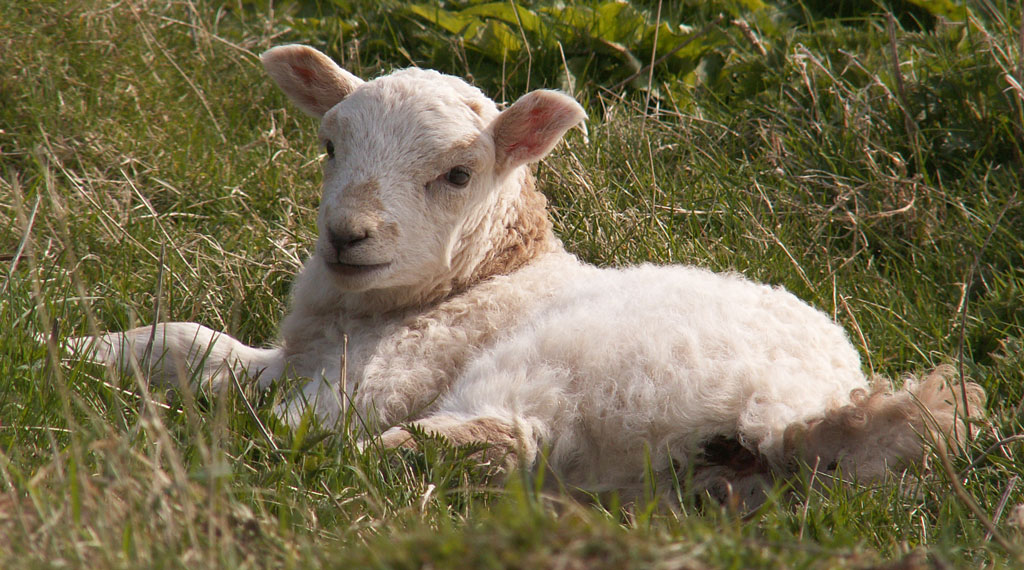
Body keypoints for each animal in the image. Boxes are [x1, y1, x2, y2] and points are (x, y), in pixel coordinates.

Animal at [71, 44, 985, 505]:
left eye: (457, 174)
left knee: (499, 440)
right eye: (329, 145)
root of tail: (801, 406)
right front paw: (76, 350)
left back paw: (357, 462)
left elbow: (293, 418)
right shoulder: (286, 354)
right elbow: (184, 340)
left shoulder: (370, 377)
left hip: (576, 366)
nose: (346, 235)